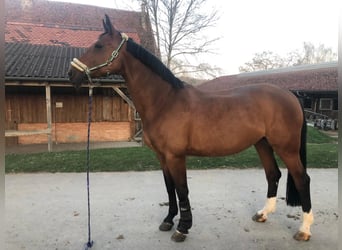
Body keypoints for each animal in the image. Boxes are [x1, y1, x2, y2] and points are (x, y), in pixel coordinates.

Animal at [68, 15, 314, 242]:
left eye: (99, 46)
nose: (72, 74)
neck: (165, 101)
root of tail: (290, 95)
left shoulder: (176, 156)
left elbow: (182, 189)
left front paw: (182, 228)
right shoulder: (162, 156)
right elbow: (170, 188)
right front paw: (168, 221)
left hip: (287, 148)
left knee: (302, 179)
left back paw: (304, 230)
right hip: (262, 143)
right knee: (273, 174)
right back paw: (263, 214)